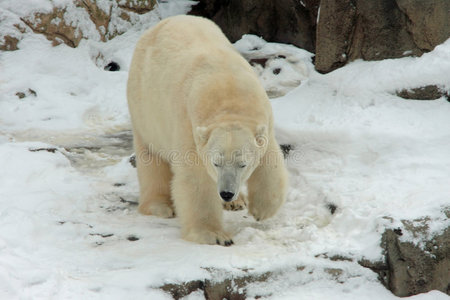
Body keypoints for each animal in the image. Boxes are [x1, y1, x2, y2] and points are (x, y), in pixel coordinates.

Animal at [126, 15, 288, 246]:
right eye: (216, 162)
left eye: (242, 164)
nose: (226, 193)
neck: (228, 93)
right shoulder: (189, 125)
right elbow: (196, 179)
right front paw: (213, 235)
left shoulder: (263, 119)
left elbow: (269, 160)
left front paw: (262, 209)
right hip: (145, 106)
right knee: (151, 156)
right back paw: (159, 206)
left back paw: (236, 202)